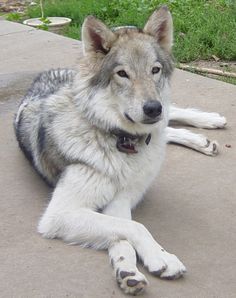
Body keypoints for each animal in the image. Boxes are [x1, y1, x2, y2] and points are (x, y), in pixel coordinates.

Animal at [13, 5, 226, 294]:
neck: (120, 141)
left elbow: (132, 226)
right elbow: (130, 230)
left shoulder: (120, 199)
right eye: (122, 73)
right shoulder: (62, 213)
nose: (152, 108)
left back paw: (210, 121)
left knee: (172, 115)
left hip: (164, 118)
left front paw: (152, 258)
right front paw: (135, 267)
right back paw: (201, 139)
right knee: (167, 130)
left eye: (155, 70)